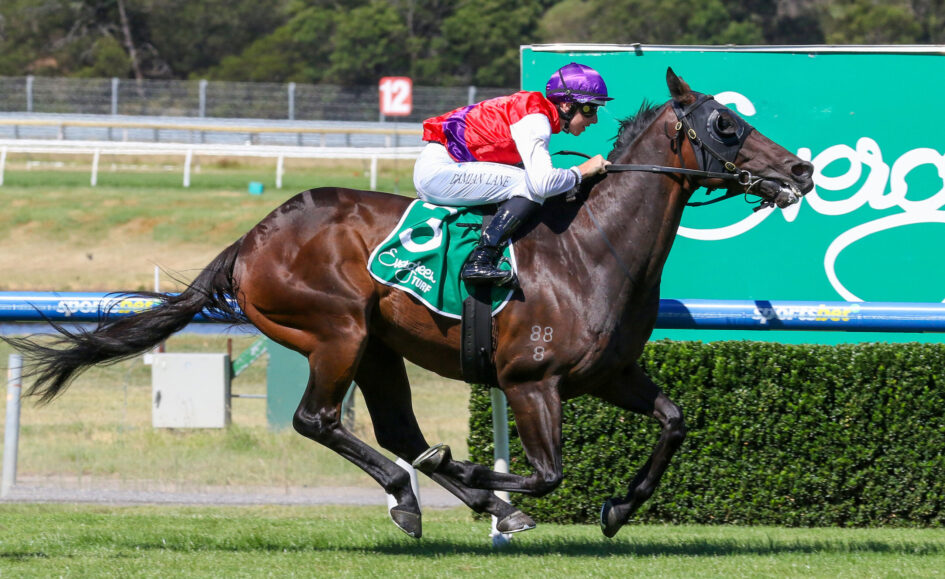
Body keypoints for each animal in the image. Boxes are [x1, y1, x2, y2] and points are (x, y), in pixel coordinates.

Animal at [7, 69, 813, 539]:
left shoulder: (609, 374)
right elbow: (546, 472)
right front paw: (488, 481)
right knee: (318, 420)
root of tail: (253, 236)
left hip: (376, 345)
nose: (801, 169)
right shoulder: (532, 382)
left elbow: (674, 422)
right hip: (334, 330)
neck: (592, 249)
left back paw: (434, 487)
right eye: (728, 126)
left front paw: (617, 508)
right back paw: (415, 492)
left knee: (394, 426)